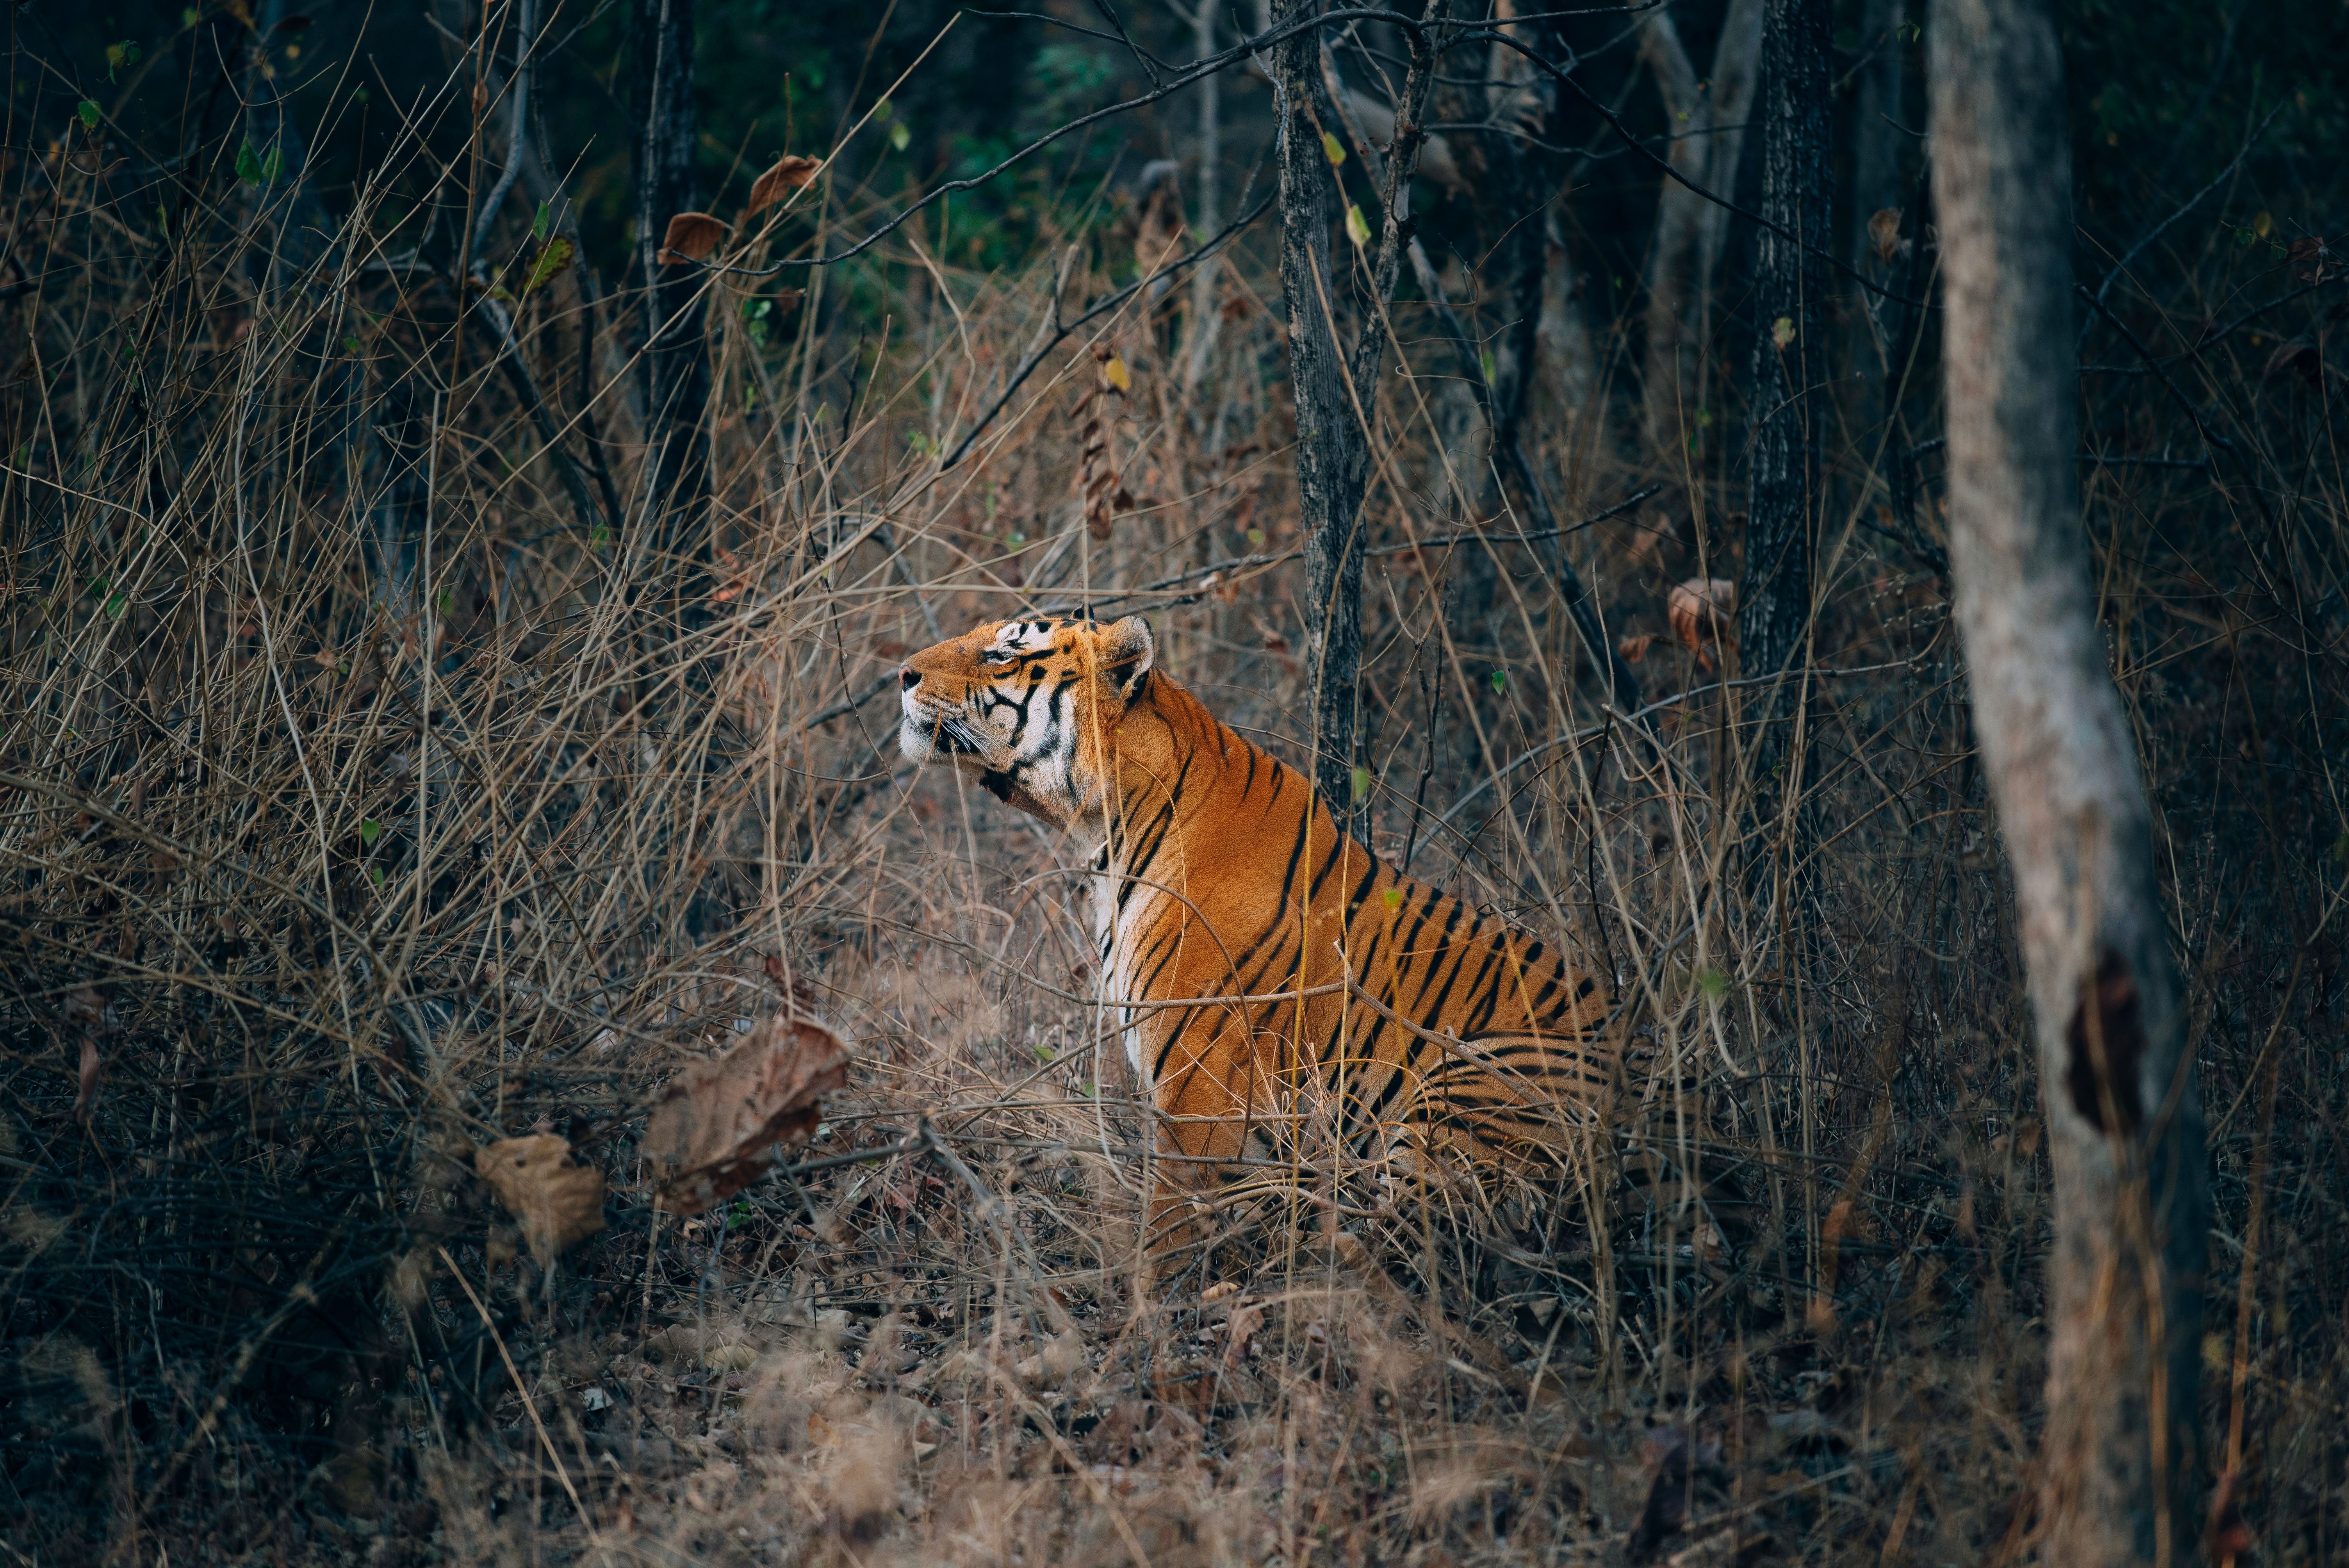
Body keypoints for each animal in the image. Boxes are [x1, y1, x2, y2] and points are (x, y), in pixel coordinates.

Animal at [895, 614, 1618, 1271]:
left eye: (1002, 654)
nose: (901, 673)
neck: (1105, 833)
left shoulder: (1197, 1082)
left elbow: (1168, 1227)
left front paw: (1149, 1310)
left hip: (1465, 1088)